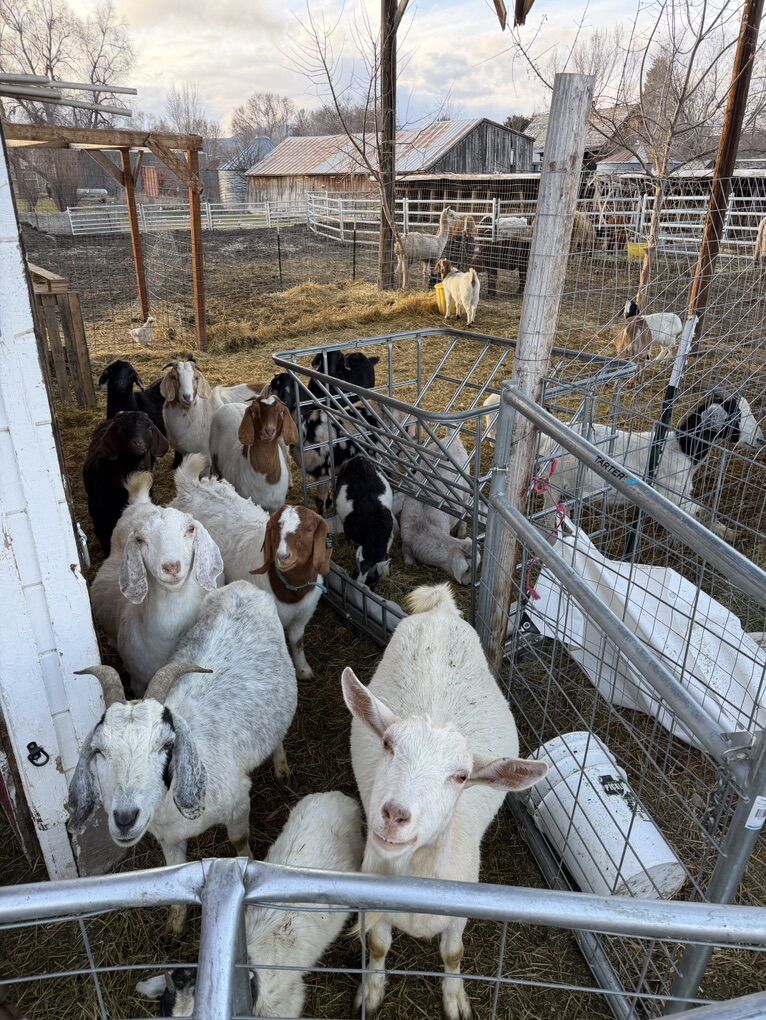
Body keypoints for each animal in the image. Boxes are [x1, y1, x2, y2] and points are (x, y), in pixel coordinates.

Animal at [68, 580, 297, 935]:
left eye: (166, 745)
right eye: (99, 750)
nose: (125, 817)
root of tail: (242, 585)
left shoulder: (238, 799)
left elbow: (239, 840)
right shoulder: (168, 838)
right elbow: (173, 873)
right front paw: (175, 924)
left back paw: (281, 766)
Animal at [172, 454, 331, 680]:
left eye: (309, 529)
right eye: (275, 528)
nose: (283, 555)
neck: (291, 591)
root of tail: (191, 486)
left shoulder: (303, 616)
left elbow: (298, 643)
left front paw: (303, 669)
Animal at [343, 583, 548, 1020]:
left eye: (461, 777)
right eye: (388, 744)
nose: (394, 814)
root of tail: (441, 610)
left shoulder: (461, 911)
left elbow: (454, 953)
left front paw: (455, 1000)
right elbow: (379, 946)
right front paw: (371, 992)